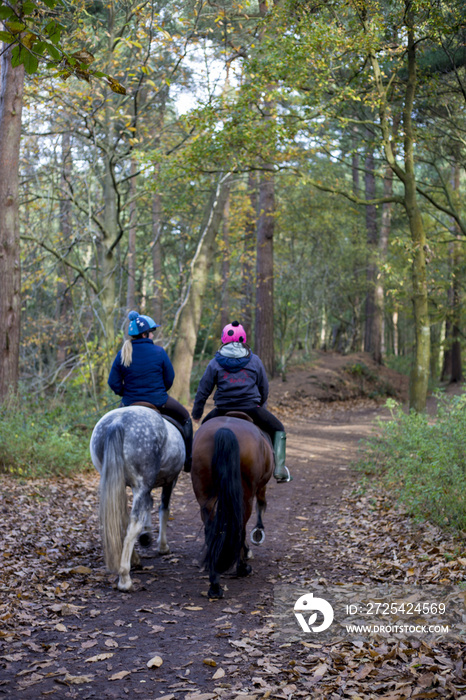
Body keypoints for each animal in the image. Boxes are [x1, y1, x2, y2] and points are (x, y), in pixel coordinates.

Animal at [90, 404, 185, 592]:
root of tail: (118, 421)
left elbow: (149, 506)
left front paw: (146, 535)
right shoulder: (170, 481)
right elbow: (164, 509)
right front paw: (162, 546)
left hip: (118, 481)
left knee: (123, 520)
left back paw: (133, 560)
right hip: (142, 483)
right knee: (133, 523)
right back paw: (125, 578)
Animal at [191, 412, 274, 600]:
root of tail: (225, 430)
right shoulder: (260, 487)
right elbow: (261, 506)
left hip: (204, 495)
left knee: (211, 528)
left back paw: (214, 582)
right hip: (245, 494)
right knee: (241, 525)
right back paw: (241, 568)